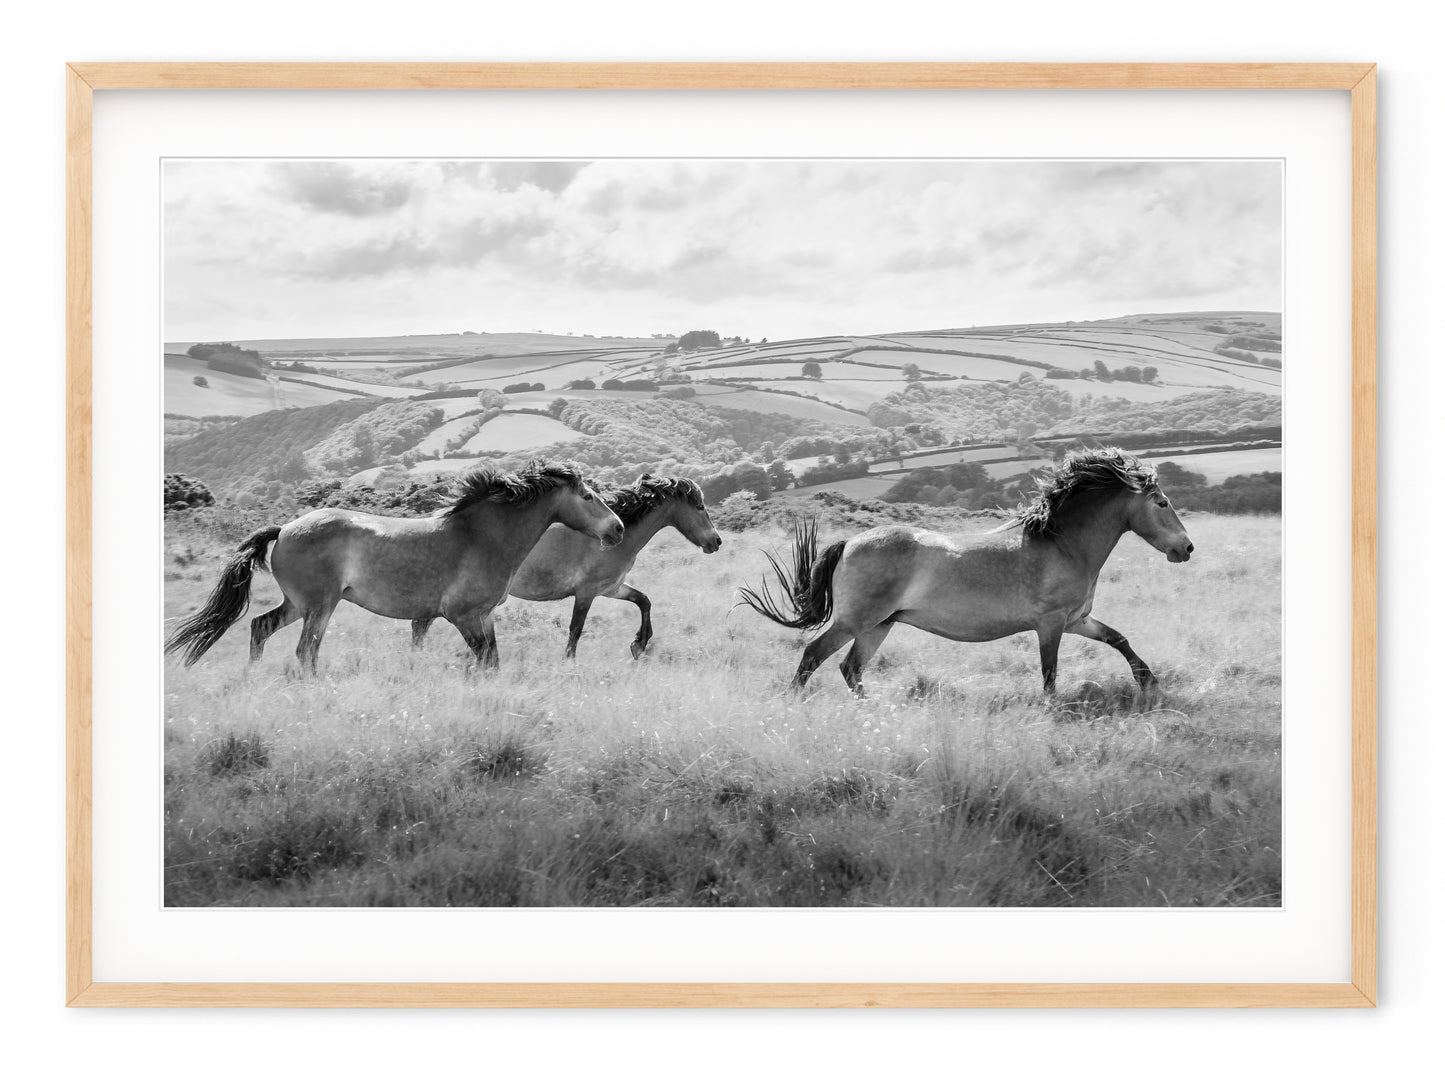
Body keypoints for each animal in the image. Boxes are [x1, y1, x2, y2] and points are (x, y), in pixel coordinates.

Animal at [164, 460, 625, 674]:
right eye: (587, 496)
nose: (618, 529)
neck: (483, 536)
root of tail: (287, 527)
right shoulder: (462, 616)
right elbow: (484, 659)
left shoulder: (483, 616)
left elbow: (491, 659)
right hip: (320, 605)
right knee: (305, 650)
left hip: (297, 604)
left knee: (261, 627)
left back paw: (252, 676)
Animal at [409, 474, 722, 658]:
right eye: (699, 507)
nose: (716, 541)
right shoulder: (586, 592)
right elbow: (575, 629)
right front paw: (569, 662)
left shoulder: (612, 588)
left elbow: (644, 601)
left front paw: (639, 644)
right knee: (420, 624)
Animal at [739, 447, 1193, 695]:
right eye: (1162, 503)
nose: (1186, 548)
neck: (1063, 544)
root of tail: (849, 542)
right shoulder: (1050, 625)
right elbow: (1049, 673)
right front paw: (1051, 710)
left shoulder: (1077, 620)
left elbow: (1119, 639)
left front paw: (1148, 682)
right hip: (856, 620)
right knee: (813, 656)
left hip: (879, 624)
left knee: (851, 669)